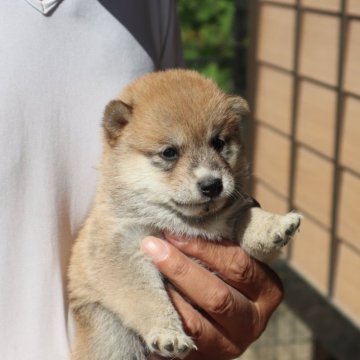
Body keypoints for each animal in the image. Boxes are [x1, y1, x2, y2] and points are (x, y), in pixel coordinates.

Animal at [67, 69, 300, 360]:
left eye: (218, 143)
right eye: (169, 153)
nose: (212, 185)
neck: (190, 222)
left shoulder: (234, 214)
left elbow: (249, 217)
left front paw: (276, 226)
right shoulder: (122, 250)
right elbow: (147, 298)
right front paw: (168, 333)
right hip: (109, 333)